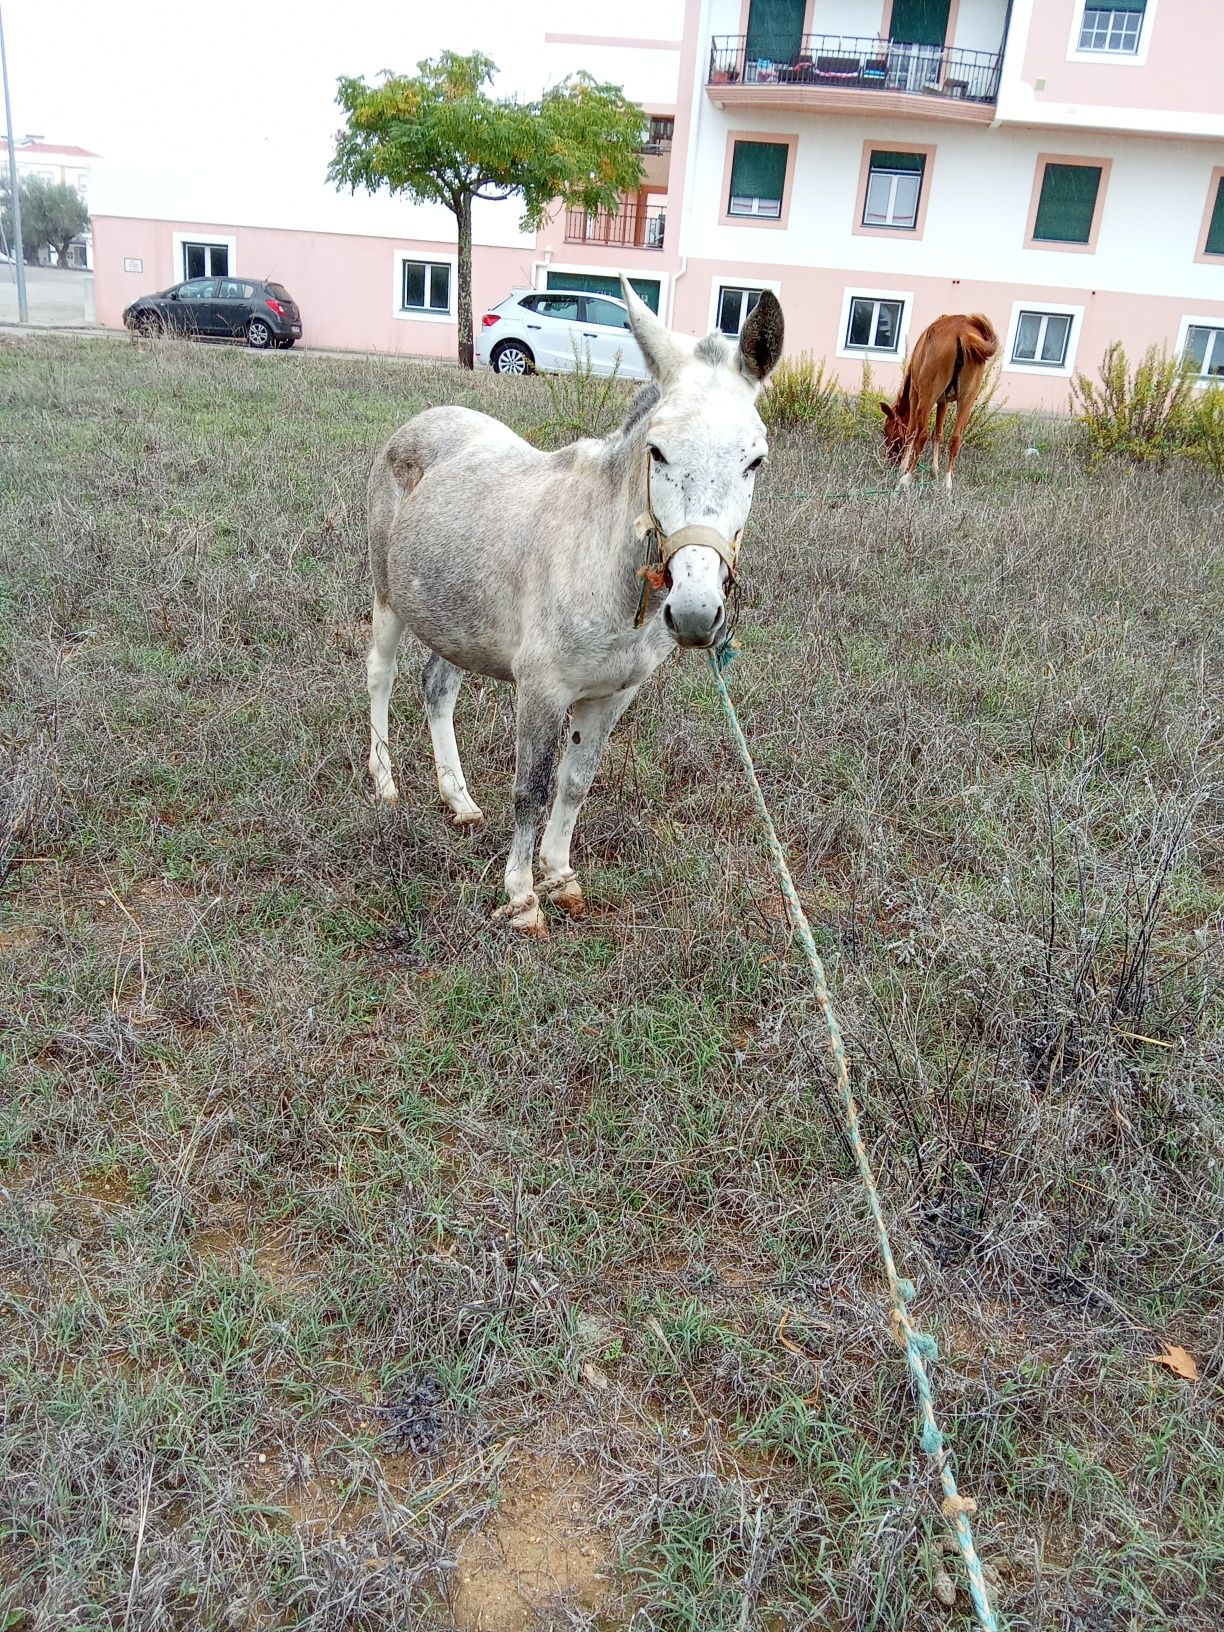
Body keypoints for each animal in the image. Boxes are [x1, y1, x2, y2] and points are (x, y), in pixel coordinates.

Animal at [887, 311, 998, 486]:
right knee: (956, 438)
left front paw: (903, 466)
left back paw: (906, 477)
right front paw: (934, 471)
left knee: (922, 435)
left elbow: (911, 431)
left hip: (927, 397)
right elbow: (938, 433)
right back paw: (947, 483)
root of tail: (962, 332)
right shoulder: (943, 402)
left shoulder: (914, 394)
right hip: (966, 400)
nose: (890, 459)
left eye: (887, 431)